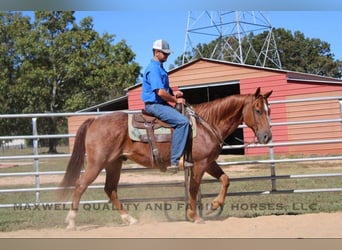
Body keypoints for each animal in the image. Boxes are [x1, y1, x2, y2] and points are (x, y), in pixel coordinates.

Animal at [58, 86, 272, 229]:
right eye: (258, 110)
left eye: (269, 110)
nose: (266, 137)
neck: (208, 123)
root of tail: (94, 120)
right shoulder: (199, 164)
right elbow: (193, 188)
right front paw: (194, 216)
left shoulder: (209, 162)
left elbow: (226, 179)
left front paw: (213, 206)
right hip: (97, 163)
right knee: (80, 185)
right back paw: (71, 222)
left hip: (113, 164)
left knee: (110, 189)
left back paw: (130, 219)